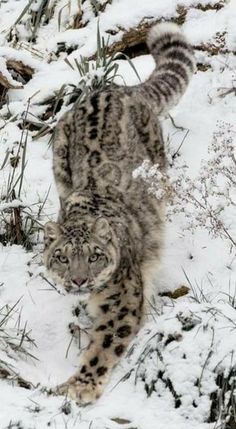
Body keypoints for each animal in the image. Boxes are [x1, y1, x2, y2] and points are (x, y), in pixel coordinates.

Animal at [43, 22, 195, 404]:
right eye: (62, 258)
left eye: (94, 256)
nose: (78, 280)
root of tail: (117, 89)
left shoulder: (122, 300)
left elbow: (104, 344)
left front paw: (80, 387)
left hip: (158, 166)